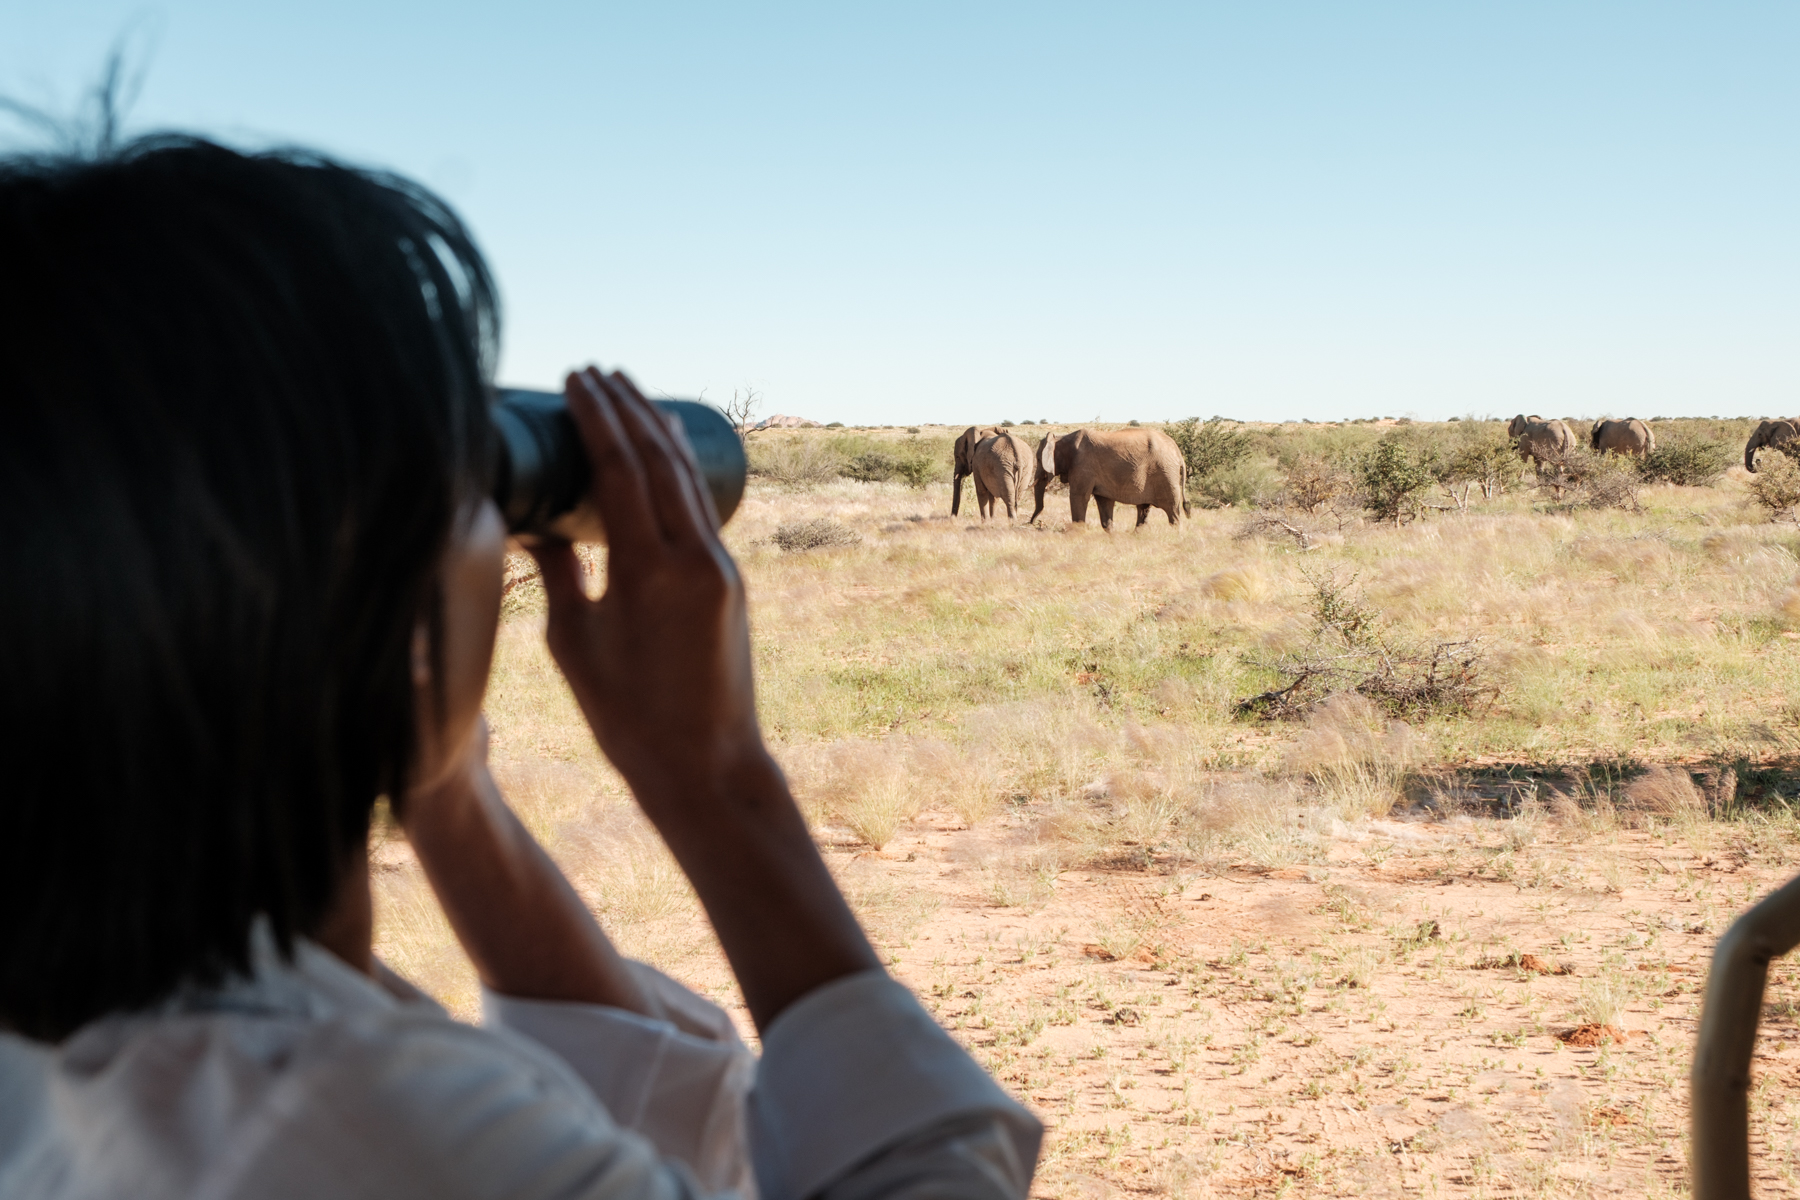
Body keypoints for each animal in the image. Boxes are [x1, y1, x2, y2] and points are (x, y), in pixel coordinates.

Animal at [1029, 428, 1188, 529]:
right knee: (1143, 509)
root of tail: (1178, 453)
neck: (1062, 438)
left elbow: (1079, 497)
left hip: (1166, 474)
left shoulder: (1083, 466)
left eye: (1038, 459)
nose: (1031, 523)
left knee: (1172, 512)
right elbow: (1104, 502)